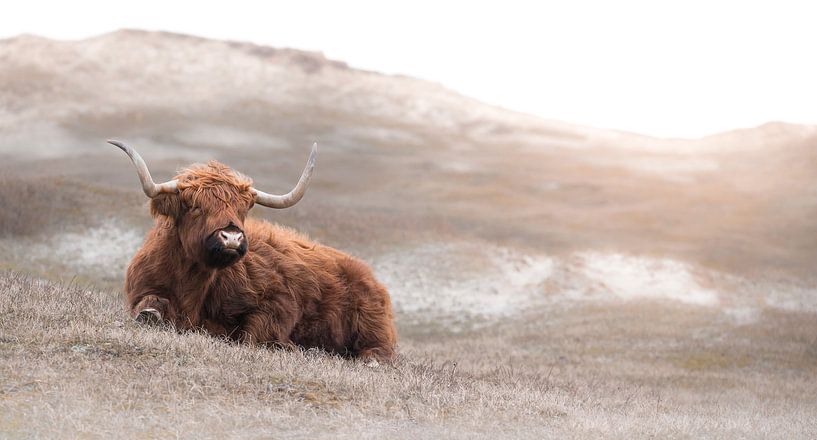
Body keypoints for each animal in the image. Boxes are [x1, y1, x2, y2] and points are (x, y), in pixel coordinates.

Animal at [111, 141, 398, 360]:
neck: (193, 284)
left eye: (242, 209)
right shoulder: (143, 288)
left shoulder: (278, 302)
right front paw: (150, 314)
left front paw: (288, 346)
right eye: (195, 206)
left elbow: (253, 334)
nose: (232, 236)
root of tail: (370, 275)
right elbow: (149, 306)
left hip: (372, 326)